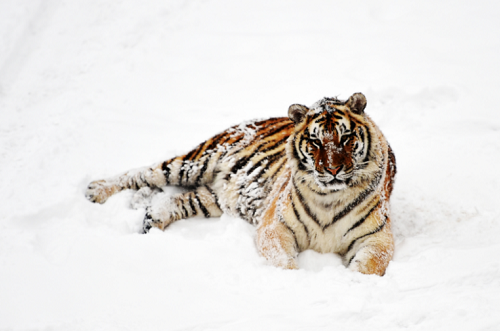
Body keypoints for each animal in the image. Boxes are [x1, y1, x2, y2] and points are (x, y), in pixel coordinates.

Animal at [87, 92, 398, 276]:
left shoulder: (377, 239)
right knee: (141, 173)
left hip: (217, 198)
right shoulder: (275, 227)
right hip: (193, 162)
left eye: (346, 138)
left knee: (175, 199)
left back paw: (152, 220)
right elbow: (283, 262)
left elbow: (368, 268)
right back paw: (95, 190)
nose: (332, 169)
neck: (330, 197)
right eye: (316, 141)